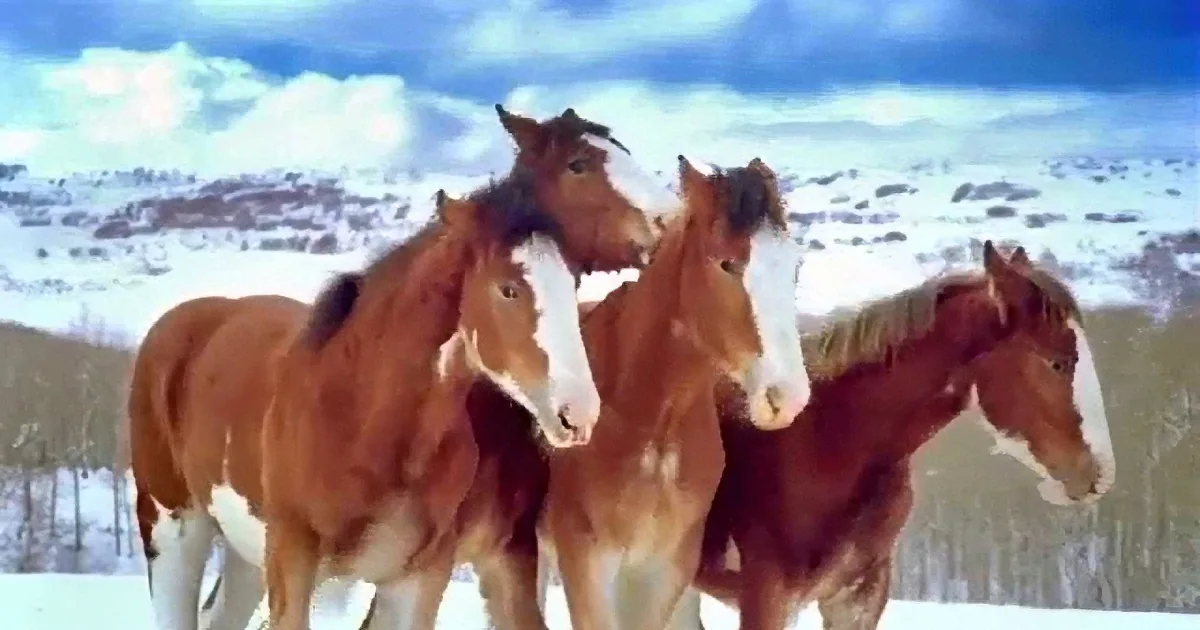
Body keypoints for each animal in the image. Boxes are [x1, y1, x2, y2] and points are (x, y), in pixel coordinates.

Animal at [538, 155, 812, 630]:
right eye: (726, 264)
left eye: (794, 267)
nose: (787, 397)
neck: (649, 419)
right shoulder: (586, 564)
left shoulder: (664, 571)